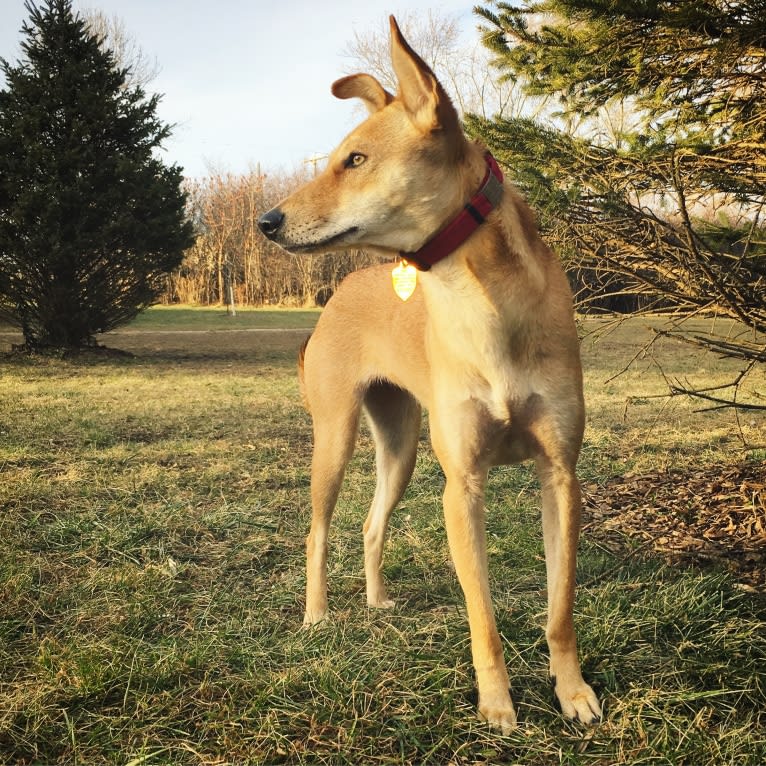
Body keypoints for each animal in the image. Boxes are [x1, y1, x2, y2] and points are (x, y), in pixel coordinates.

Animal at [260, 18, 604, 736]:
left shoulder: (560, 476)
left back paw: (377, 602)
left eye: (354, 160)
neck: (483, 298)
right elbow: (483, 617)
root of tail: (334, 298)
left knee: (371, 525)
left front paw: (573, 692)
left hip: (401, 447)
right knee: (317, 532)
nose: (266, 222)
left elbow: (559, 608)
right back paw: (317, 615)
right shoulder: (461, 487)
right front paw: (498, 705)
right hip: (334, 439)